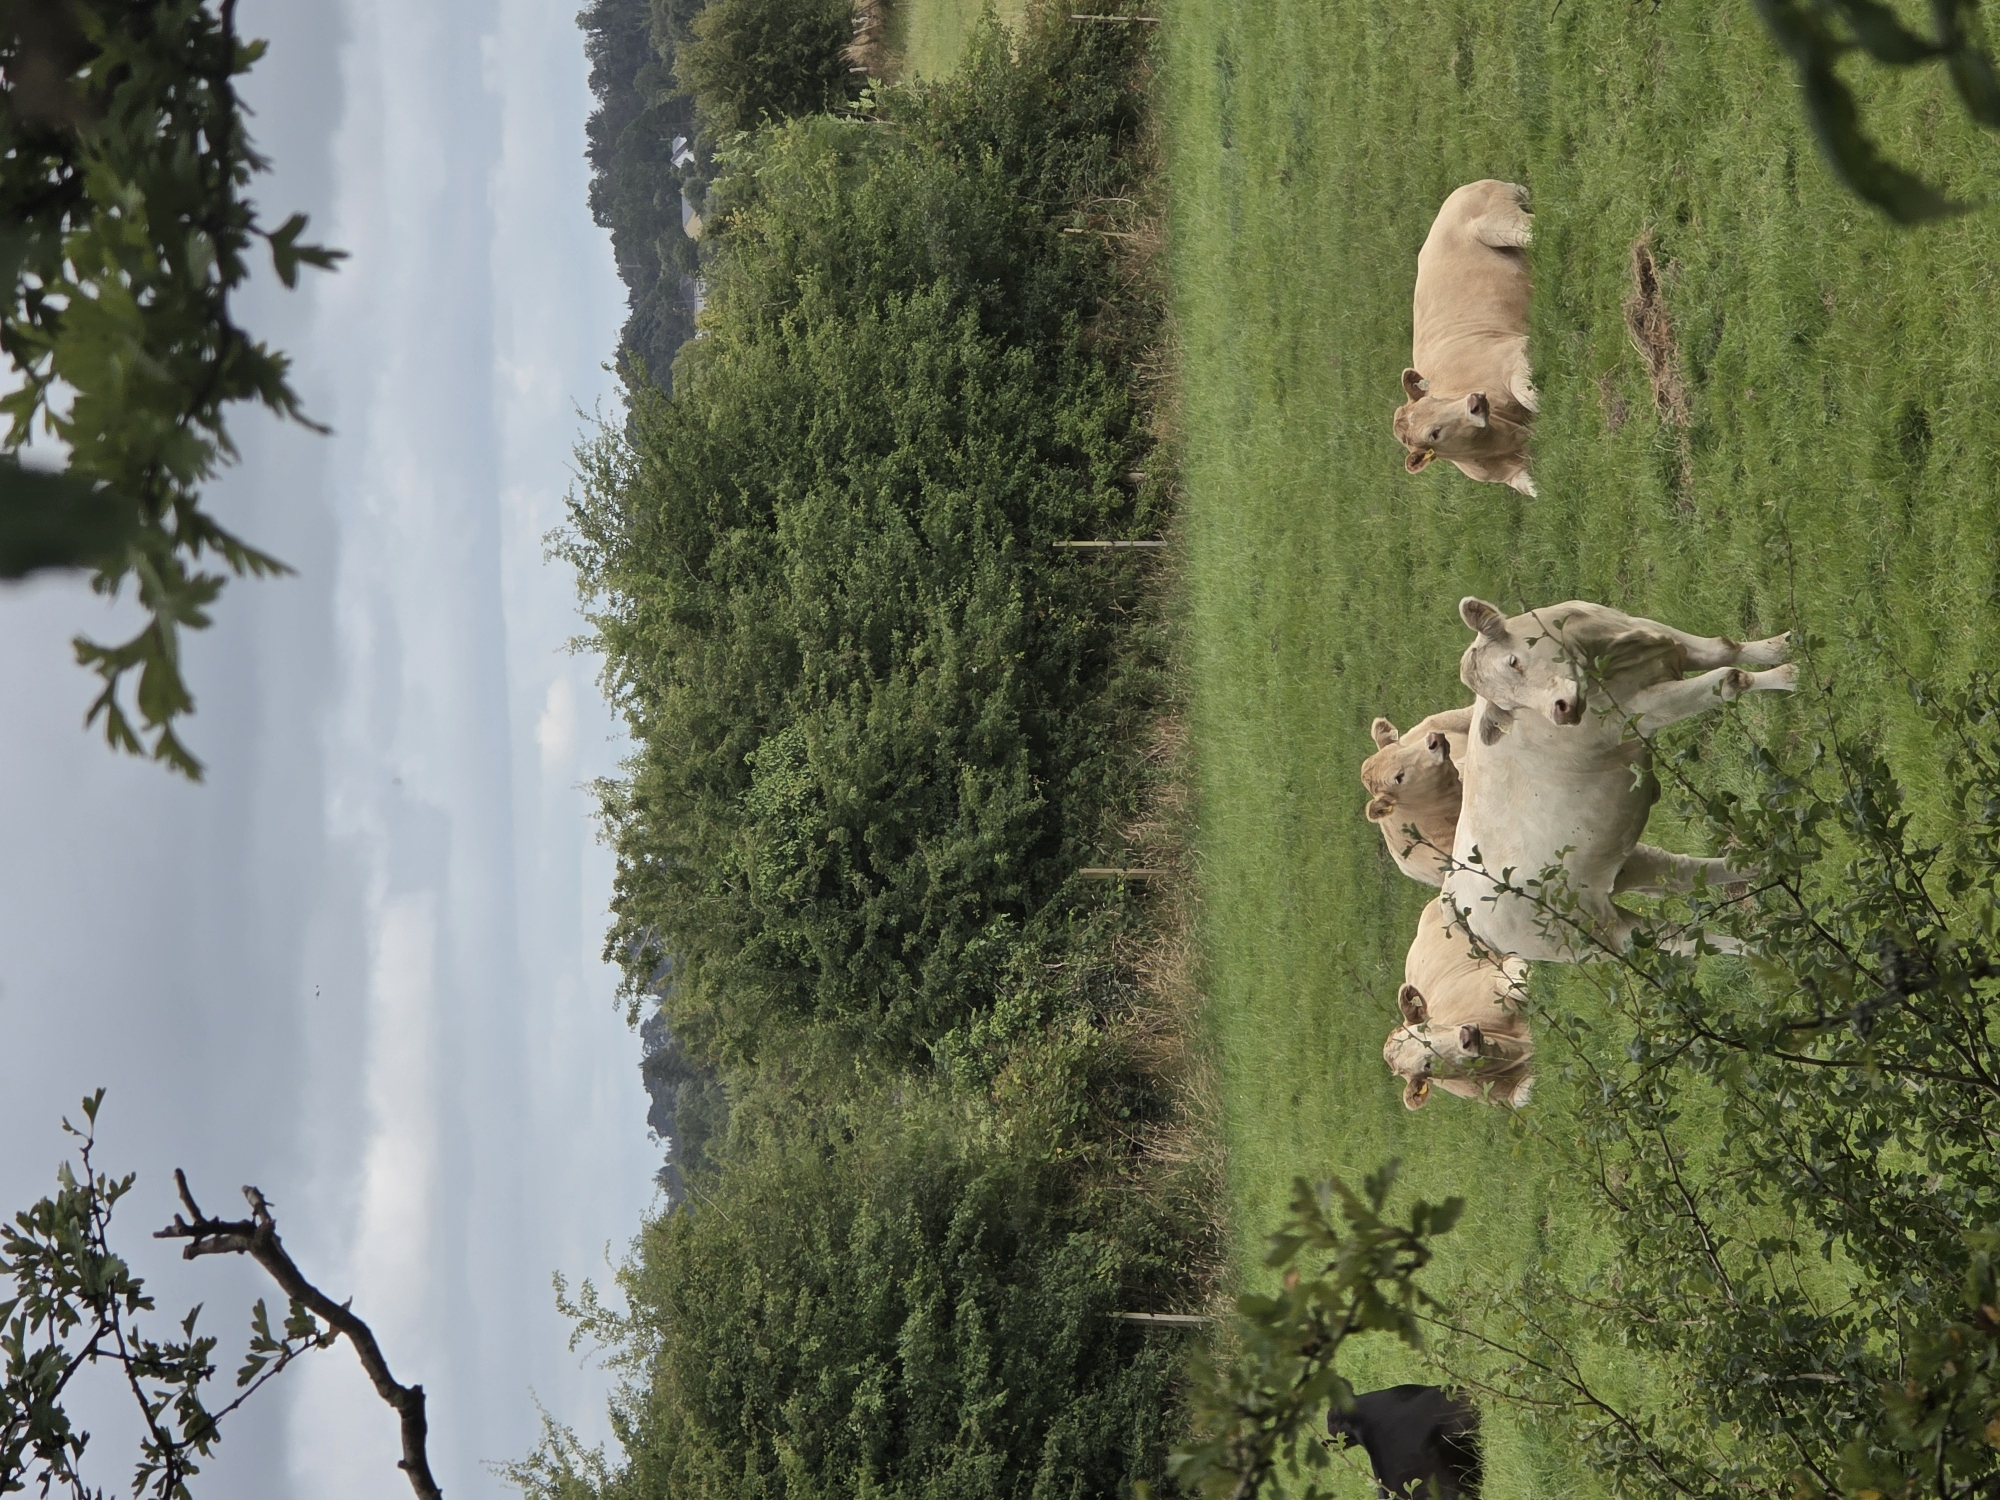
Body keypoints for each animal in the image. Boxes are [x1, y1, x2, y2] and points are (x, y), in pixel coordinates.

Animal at [1395, 180, 1537, 496]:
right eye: (1433, 434)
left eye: (1437, 399)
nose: (1474, 402)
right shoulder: (1517, 476)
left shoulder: (1512, 353)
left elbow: (1529, 394)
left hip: (1499, 222)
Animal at [1443, 597, 1794, 962]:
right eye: (1508, 705)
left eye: (1513, 662)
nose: (1559, 711)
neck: (1603, 649)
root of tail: (1455, 903)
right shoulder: (1642, 712)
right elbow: (1729, 679)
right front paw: (1792, 676)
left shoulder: (1654, 632)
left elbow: (1725, 648)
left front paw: (1786, 646)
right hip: (1591, 934)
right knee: (1671, 939)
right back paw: (1764, 946)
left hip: (1621, 859)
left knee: (1676, 872)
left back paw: (1761, 865)